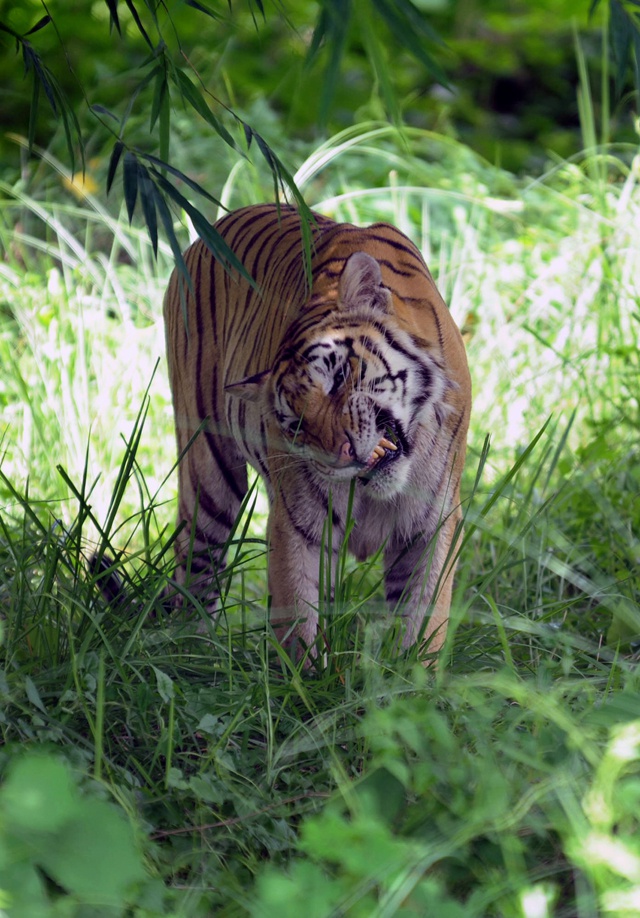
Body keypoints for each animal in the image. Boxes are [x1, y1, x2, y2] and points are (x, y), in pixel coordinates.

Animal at [162, 203, 472, 660]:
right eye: (296, 425)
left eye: (340, 376)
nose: (342, 454)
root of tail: (207, 233)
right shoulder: (298, 522)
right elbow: (298, 614)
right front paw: (306, 675)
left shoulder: (432, 521)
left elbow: (423, 618)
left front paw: (413, 673)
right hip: (208, 477)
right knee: (196, 568)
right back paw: (190, 654)